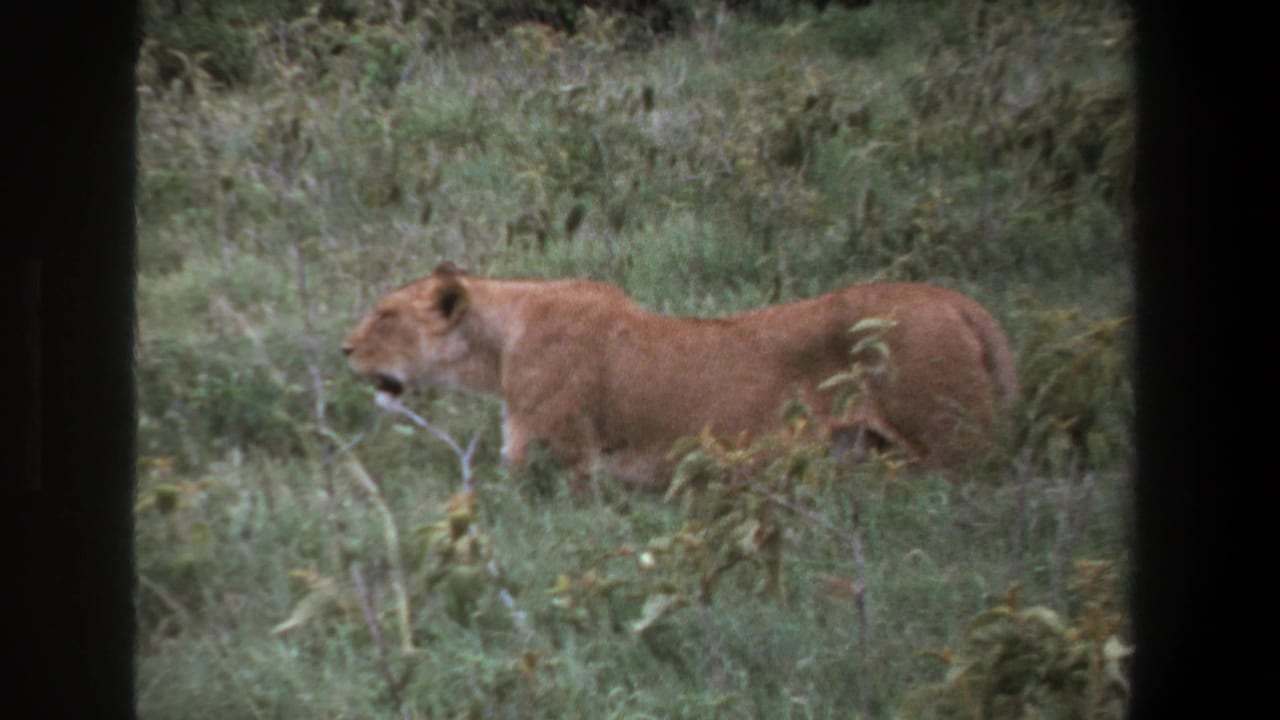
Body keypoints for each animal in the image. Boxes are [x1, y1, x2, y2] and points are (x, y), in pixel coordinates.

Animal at [342, 262, 1018, 488]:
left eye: (385, 314)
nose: (344, 348)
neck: (501, 341)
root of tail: (961, 303)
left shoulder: (556, 462)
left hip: (950, 451)